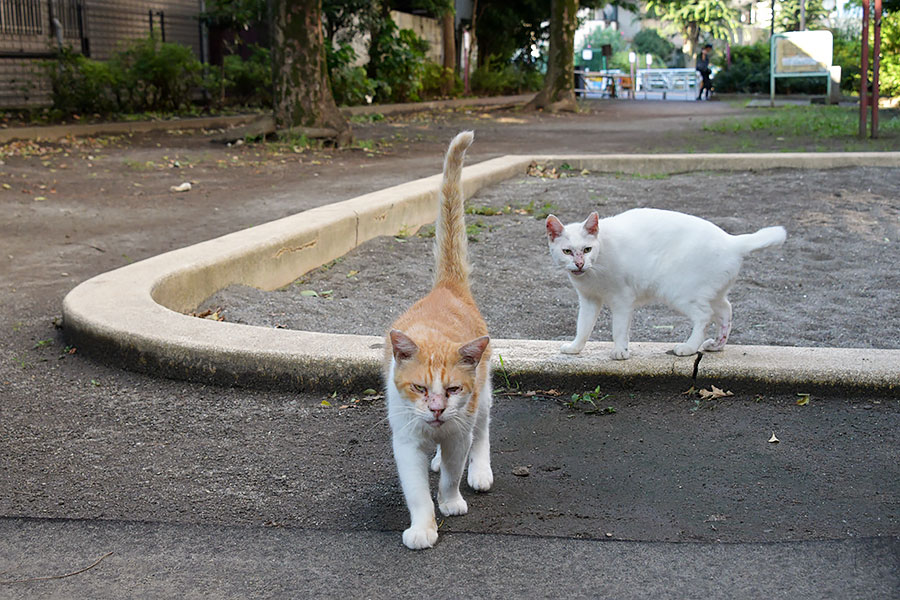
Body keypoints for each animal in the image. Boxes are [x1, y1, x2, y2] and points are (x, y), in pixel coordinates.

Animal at [382, 131, 492, 548]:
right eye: (418, 387)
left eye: (453, 389)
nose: (437, 410)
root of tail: (446, 288)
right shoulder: (405, 441)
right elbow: (415, 490)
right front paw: (423, 527)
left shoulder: (460, 428)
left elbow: (451, 472)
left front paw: (451, 502)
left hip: (485, 395)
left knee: (483, 433)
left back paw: (479, 471)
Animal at [544, 210, 784, 360]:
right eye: (567, 251)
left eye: (587, 249)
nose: (579, 263)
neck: (595, 268)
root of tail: (732, 241)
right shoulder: (589, 300)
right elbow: (583, 327)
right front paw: (575, 348)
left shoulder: (622, 300)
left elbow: (618, 329)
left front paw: (621, 351)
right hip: (712, 294)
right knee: (726, 311)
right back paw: (717, 344)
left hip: (682, 293)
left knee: (704, 316)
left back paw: (689, 347)